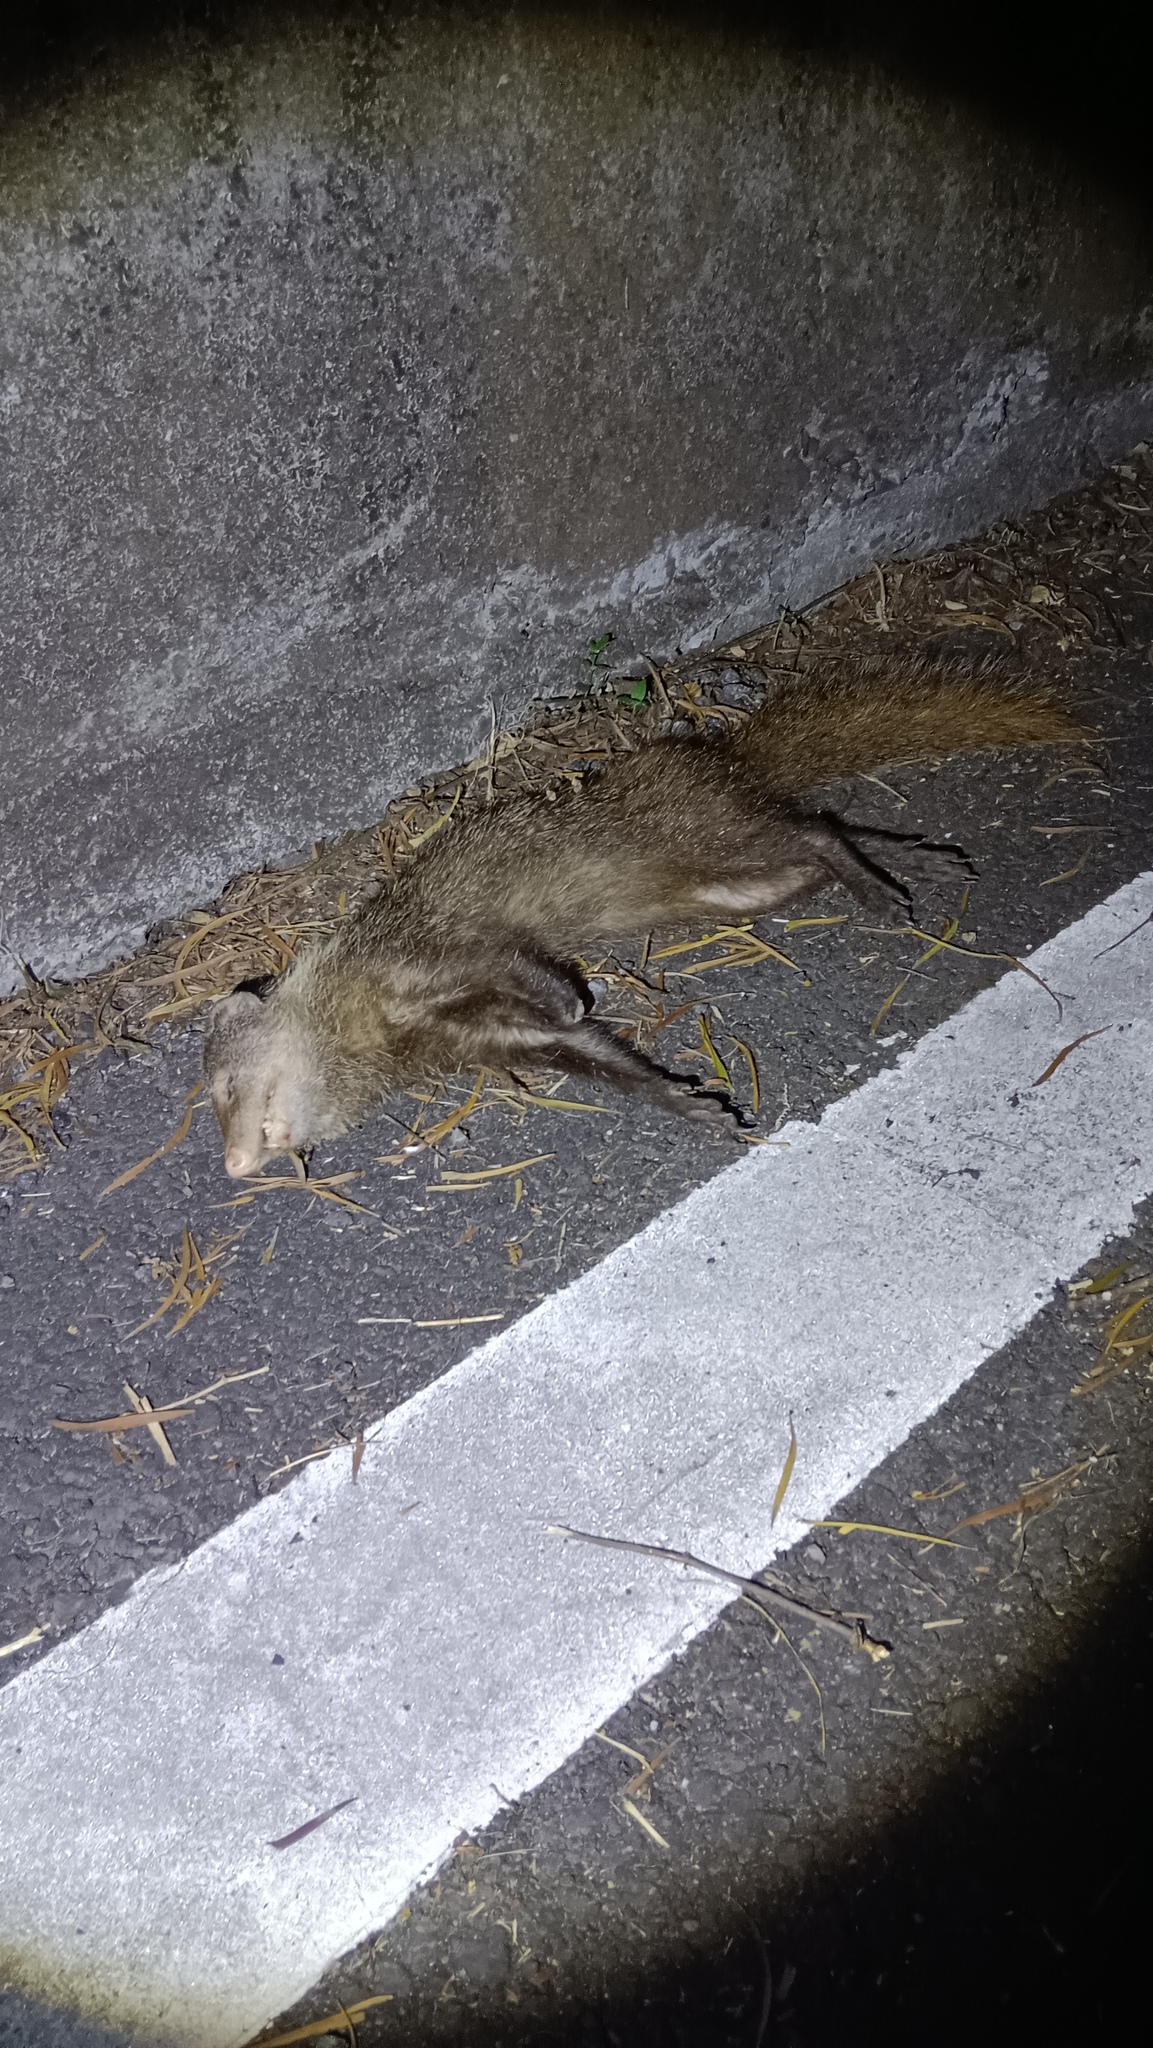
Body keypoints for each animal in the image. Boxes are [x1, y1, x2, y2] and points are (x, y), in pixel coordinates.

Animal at [204, 656, 1085, 1176]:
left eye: (221, 1089)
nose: (235, 1167)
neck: (379, 1027)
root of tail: (716, 754)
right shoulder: (486, 1037)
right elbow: (598, 1058)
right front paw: (694, 1106)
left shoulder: (440, 951)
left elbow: (526, 972)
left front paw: (573, 995)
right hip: (734, 883)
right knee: (821, 835)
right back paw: (928, 861)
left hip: (708, 838)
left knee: (817, 828)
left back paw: (885, 892)